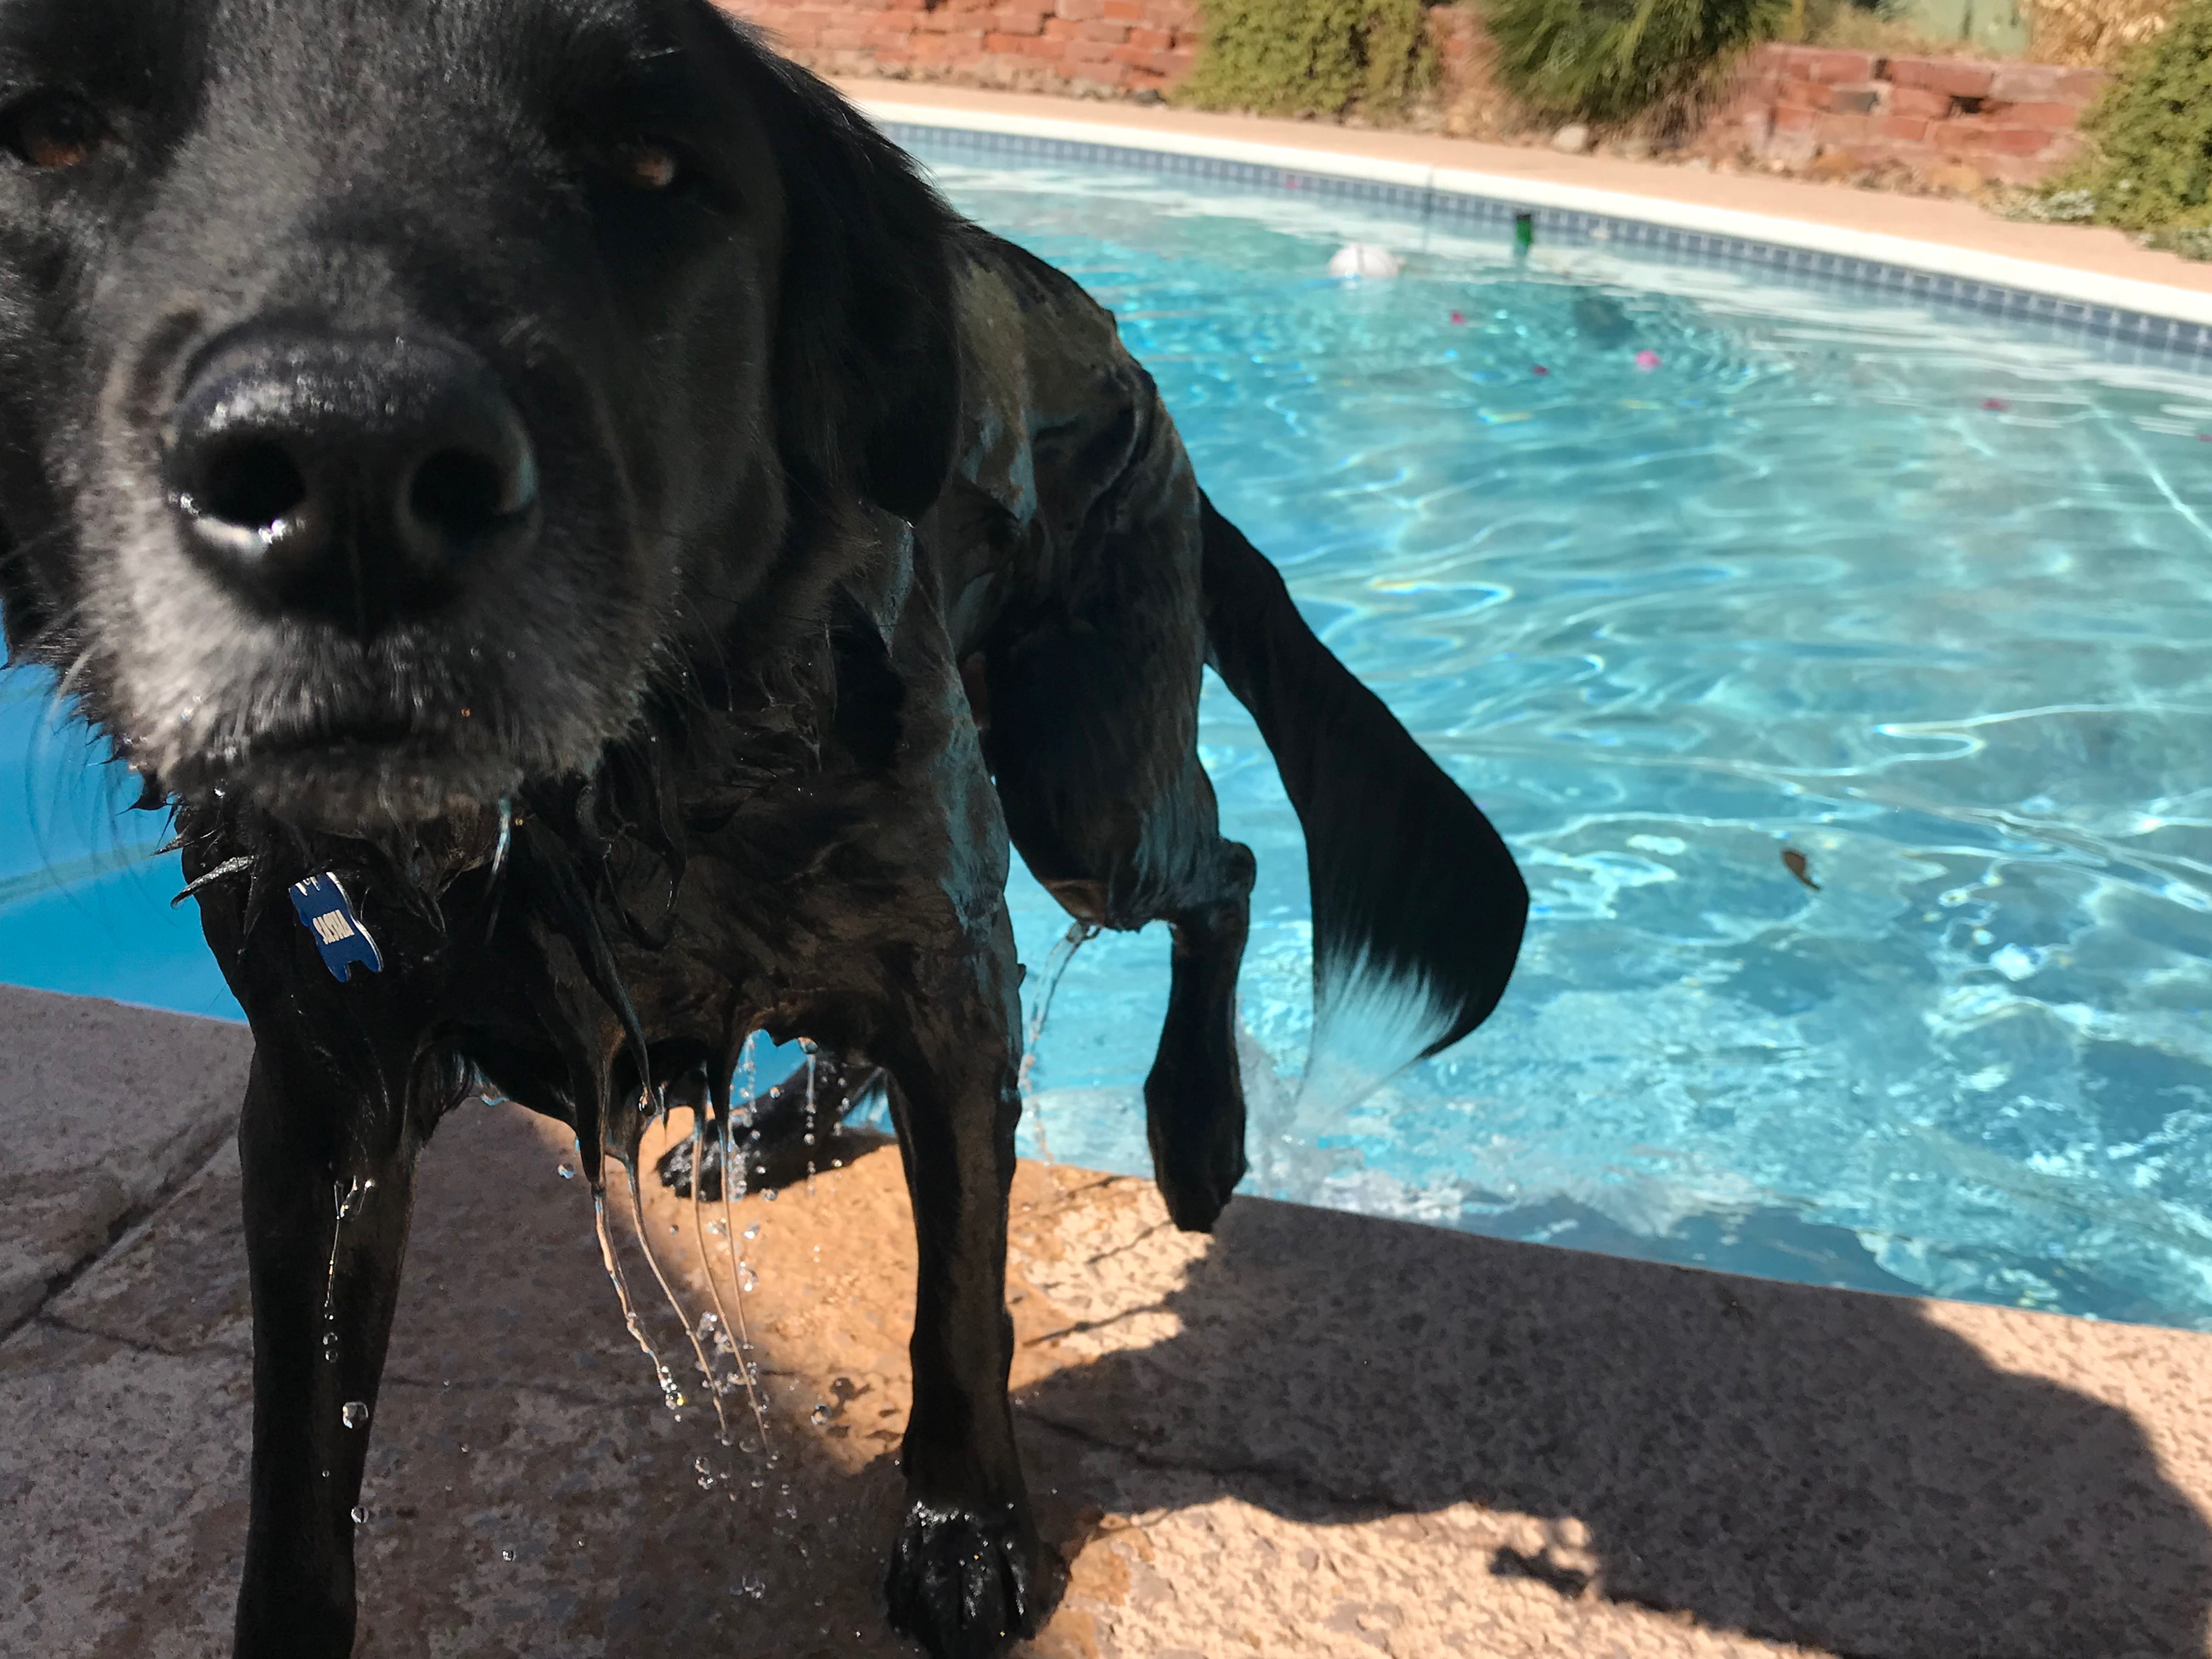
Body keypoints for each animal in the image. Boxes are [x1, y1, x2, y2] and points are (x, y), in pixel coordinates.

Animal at [0, 1, 1529, 1652]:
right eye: (47, 132)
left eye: (652, 163)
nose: (349, 480)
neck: (582, 810)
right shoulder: (321, 1083)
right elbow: (298, 1465)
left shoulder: (947, 957)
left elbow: (959, 1297)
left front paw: (966, 1529)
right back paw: (788, 1126)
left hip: (1083, 786)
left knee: (1224, 872)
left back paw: (1197, 1129)